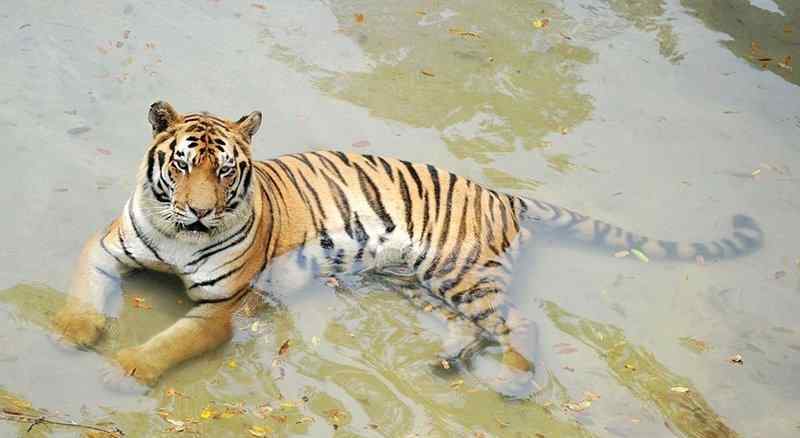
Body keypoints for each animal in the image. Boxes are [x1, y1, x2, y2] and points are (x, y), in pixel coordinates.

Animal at [50, 102, 764, 396]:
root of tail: (505, 196)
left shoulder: (222, 307)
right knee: (475, 327)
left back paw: (513, 385)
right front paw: (72, 332)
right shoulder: (105, 246)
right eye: (184, 165)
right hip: (419, 282)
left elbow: (170, 343)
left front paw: (123, 371)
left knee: (520, 323)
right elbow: (85, 285)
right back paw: (448, 363)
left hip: (462, 275)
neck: (178, 236)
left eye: (225, 172)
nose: (199, 209)